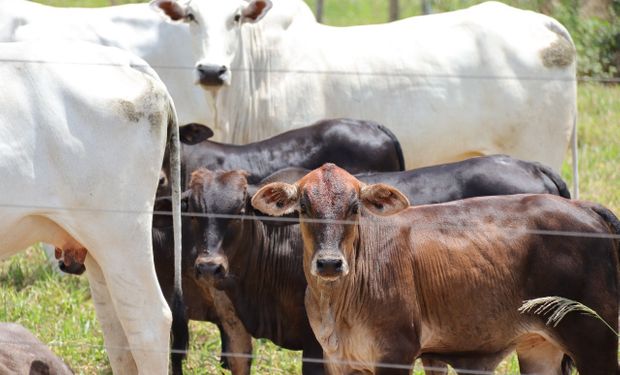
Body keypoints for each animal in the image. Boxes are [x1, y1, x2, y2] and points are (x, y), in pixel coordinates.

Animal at [252, 164, 620, 375]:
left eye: (354, 207)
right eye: (304, 206)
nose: (329, 263)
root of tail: (584, 207)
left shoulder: (396, 354)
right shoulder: (338, 360)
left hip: (596, 341)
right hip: (540, 348)